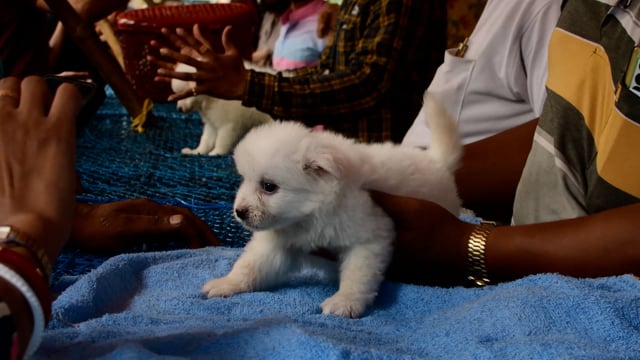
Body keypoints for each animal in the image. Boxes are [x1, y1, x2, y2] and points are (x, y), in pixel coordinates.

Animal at [202, 93, 462, 318]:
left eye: (269, 187)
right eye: (243, 179)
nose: (239, 212)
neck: (309, 214)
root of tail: (436, 161)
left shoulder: (369, 238)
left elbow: (357, 275)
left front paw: (344, 302)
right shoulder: (277, 243)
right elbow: (251, 265)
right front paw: (227, 283)